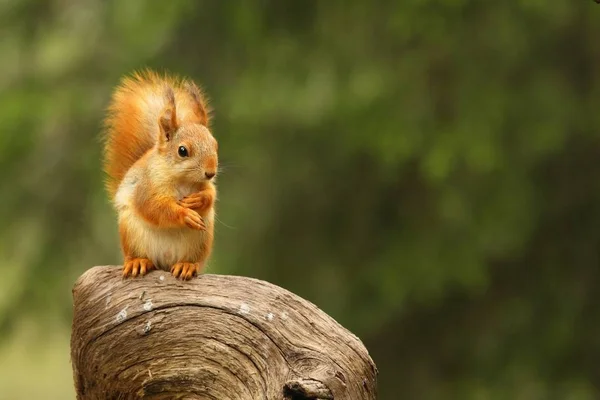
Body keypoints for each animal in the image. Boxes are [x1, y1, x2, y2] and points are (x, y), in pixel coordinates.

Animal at [102, 69, 218, 280]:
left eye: (215, 144)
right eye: (182, 151)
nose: (210, 173)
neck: (182, 180)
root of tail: (166, 262)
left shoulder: (206, 185)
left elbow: (210, 195)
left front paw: (199, 200)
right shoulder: (146, 185)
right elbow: (153, 206)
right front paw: (184, 214)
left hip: (201, 239)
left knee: (191, 260)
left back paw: (186, 265)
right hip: (131, 232)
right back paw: (138, 261)